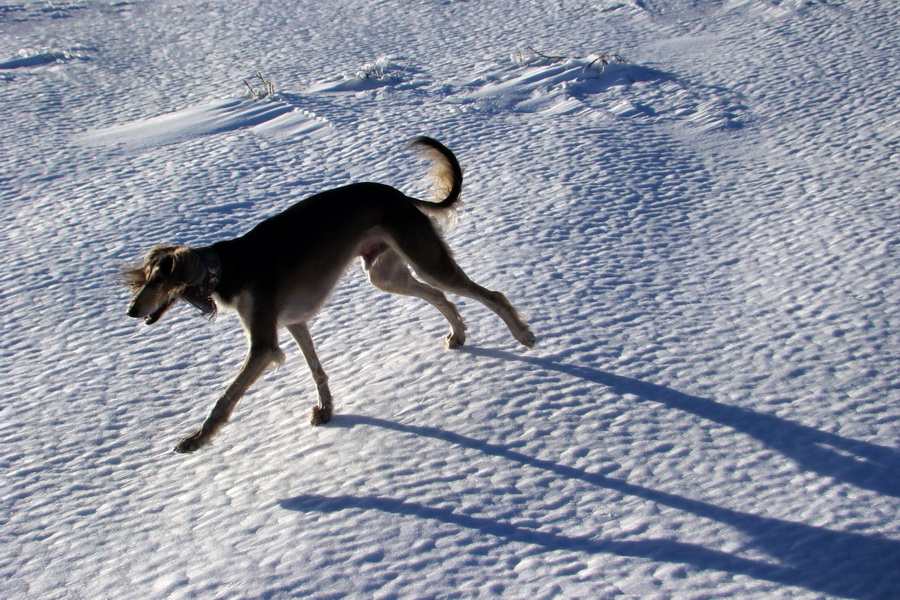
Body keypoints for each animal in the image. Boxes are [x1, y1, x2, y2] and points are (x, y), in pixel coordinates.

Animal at [125, 137, 536, 454]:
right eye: (143, 280)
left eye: (156, 280)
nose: (131, 311)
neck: (229, 267)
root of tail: (398, 195)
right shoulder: (293, 322)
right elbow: (316, 370)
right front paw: (326, 409)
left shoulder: (263, 345)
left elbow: (225, 398)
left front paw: (196, 438)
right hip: (385, 273)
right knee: (439, 295)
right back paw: (459, 334)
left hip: (424, 258)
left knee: (490, 294)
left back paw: (523, 335)